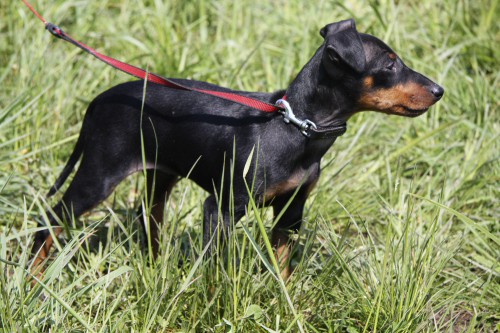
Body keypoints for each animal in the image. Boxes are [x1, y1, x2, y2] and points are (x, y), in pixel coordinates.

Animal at [31, 18, 444, 278]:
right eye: (390, 65)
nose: (439, 90)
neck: (294, 127)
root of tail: (99, 100)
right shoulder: (221, 209)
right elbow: (217, 270)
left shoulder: (291, 212)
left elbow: (283, 266)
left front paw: (284, 302)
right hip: (98, 177)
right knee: (47, 220)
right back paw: (34, 281)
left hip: (159, 177)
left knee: (148, 220)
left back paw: (154, 269)